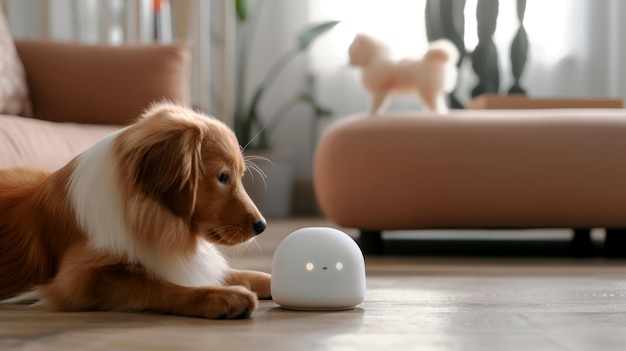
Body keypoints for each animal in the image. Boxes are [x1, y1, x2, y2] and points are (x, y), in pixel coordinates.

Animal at [0, 102, 270, 320]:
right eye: (223, 177)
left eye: (239, 175)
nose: (262, 226)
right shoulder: (79, 280)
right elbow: (156, 284)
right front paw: (221, 297)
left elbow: (228, 272)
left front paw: (267, 280)